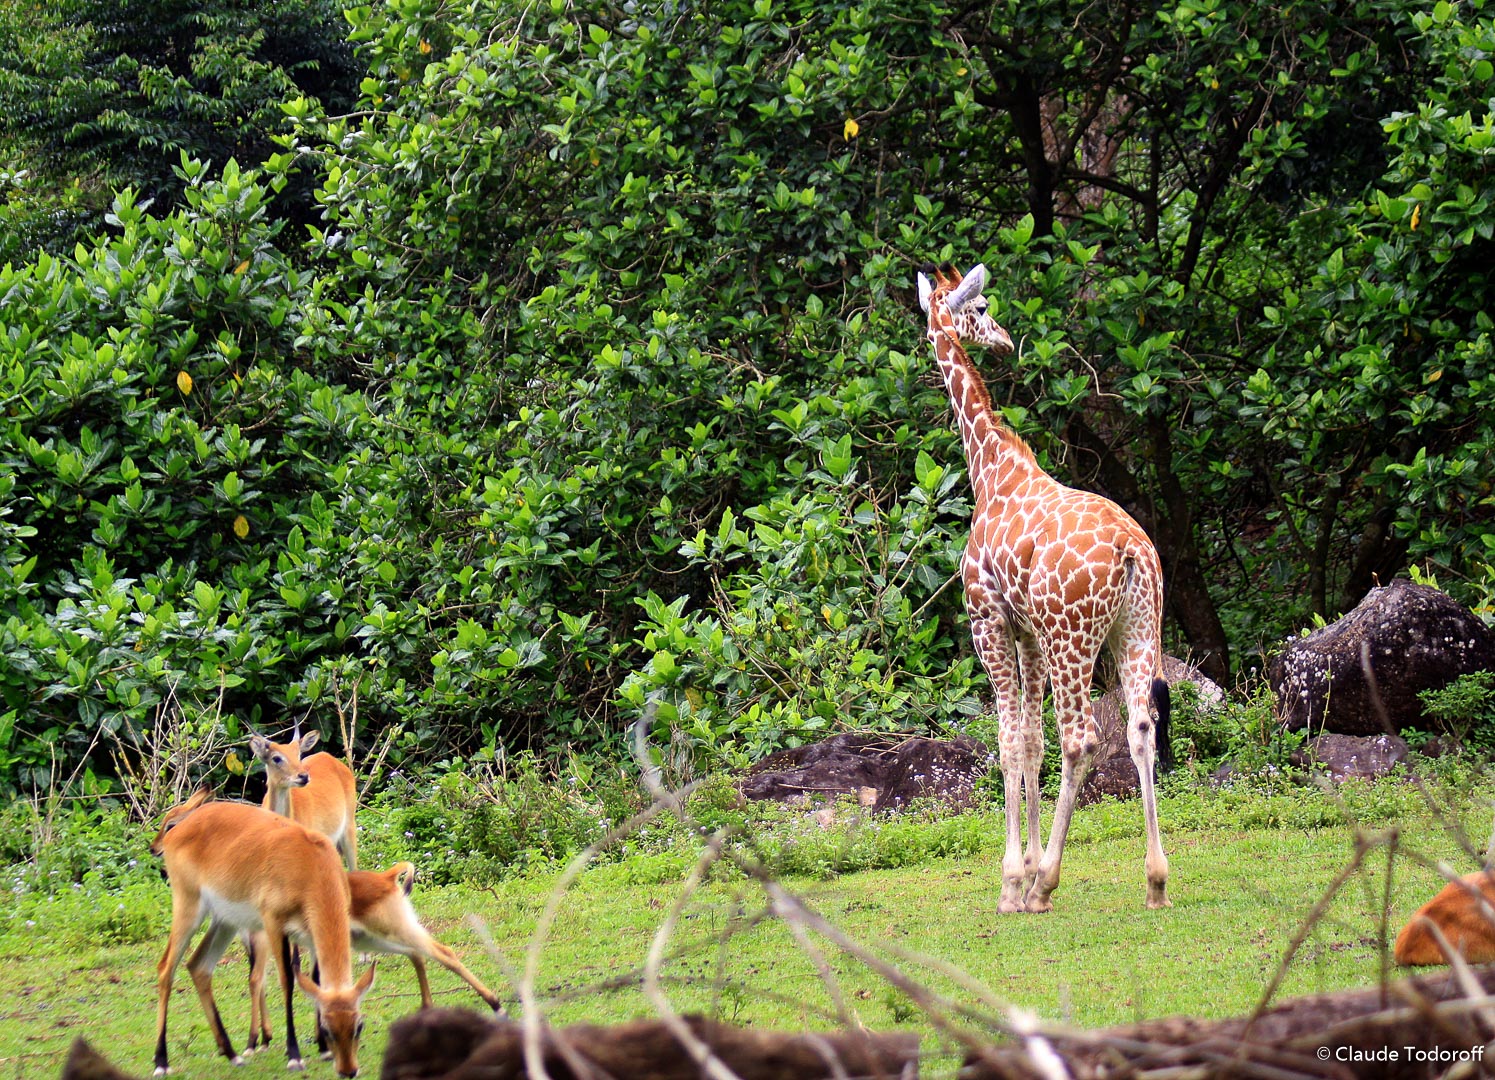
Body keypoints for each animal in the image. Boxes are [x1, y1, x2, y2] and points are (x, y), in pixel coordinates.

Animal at [148, 783, 376, 1071]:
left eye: (359, 1026)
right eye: (329, 1029)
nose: (348, 1070)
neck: (311, 867)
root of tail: (183, 828)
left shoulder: (311, 935)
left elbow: (314, 981)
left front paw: (322, 1050)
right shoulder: (274, 925)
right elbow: (287, 980)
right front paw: (294, 1055)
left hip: (224, 921)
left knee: (198, 966)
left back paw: (232, 1053)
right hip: (189, 908)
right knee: (166, 967)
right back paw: (161, 1061)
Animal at [914, 260, 1172, 909]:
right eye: (983, 311)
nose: (1005, 338)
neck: (990, 471)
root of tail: (1132, 551)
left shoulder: (988, 619)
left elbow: (1008, 741)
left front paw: (1014, 880)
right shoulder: (1025, 629)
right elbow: (1029, 740)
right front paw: (1025, 866)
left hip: (1071, 637)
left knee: (1080, 738)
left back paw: (1047, 885)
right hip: (1135, 627)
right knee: (1139, 728)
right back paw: (1156, 880)